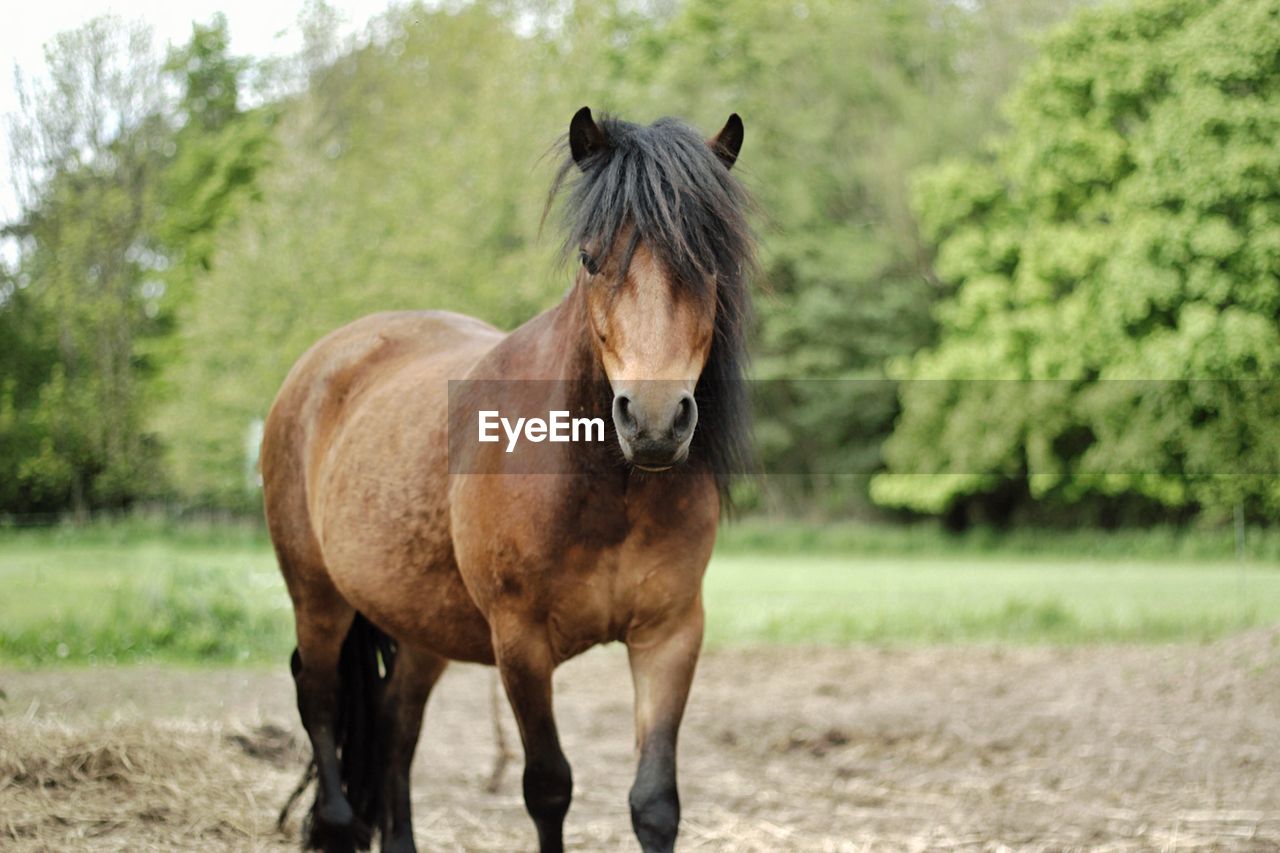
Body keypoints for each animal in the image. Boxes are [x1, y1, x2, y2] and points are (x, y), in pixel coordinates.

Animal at [263, 106, 752, 850]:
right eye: (590, 257)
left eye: (709, 261)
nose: (655, 420)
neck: (605, 491)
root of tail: (322, 361)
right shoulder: (520, 642)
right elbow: (548, 787)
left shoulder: (669, 634)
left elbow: (654, 802)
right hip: (318, 599)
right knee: (319, 701)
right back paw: (339, 822)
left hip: (418, 624)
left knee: (395, 727)